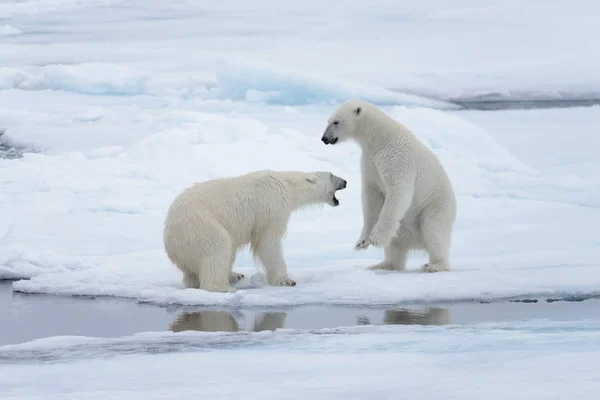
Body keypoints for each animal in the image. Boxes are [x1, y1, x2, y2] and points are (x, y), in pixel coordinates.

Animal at [163, 170, 346, 292]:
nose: (345, 181)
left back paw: (234, 275)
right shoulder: (271, 206)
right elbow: (268, 242)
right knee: (218, 246)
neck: (285, 184)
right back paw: (224, 288)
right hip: (198, 227)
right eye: (331, 175)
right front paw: (285, 280)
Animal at [324, 99, 454, 272]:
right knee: (395, 244)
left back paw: (434, 265)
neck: (380, 138)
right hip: (403, 228)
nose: (324, 138)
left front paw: (375, 238)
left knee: (434, 231)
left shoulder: (397, 158)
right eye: (328, 121)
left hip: (436, 207)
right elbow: (371, 197)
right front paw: (362, 241)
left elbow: (398, 191)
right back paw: (382, 265)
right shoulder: (370, 162)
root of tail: (417, 243)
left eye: (336, 122)